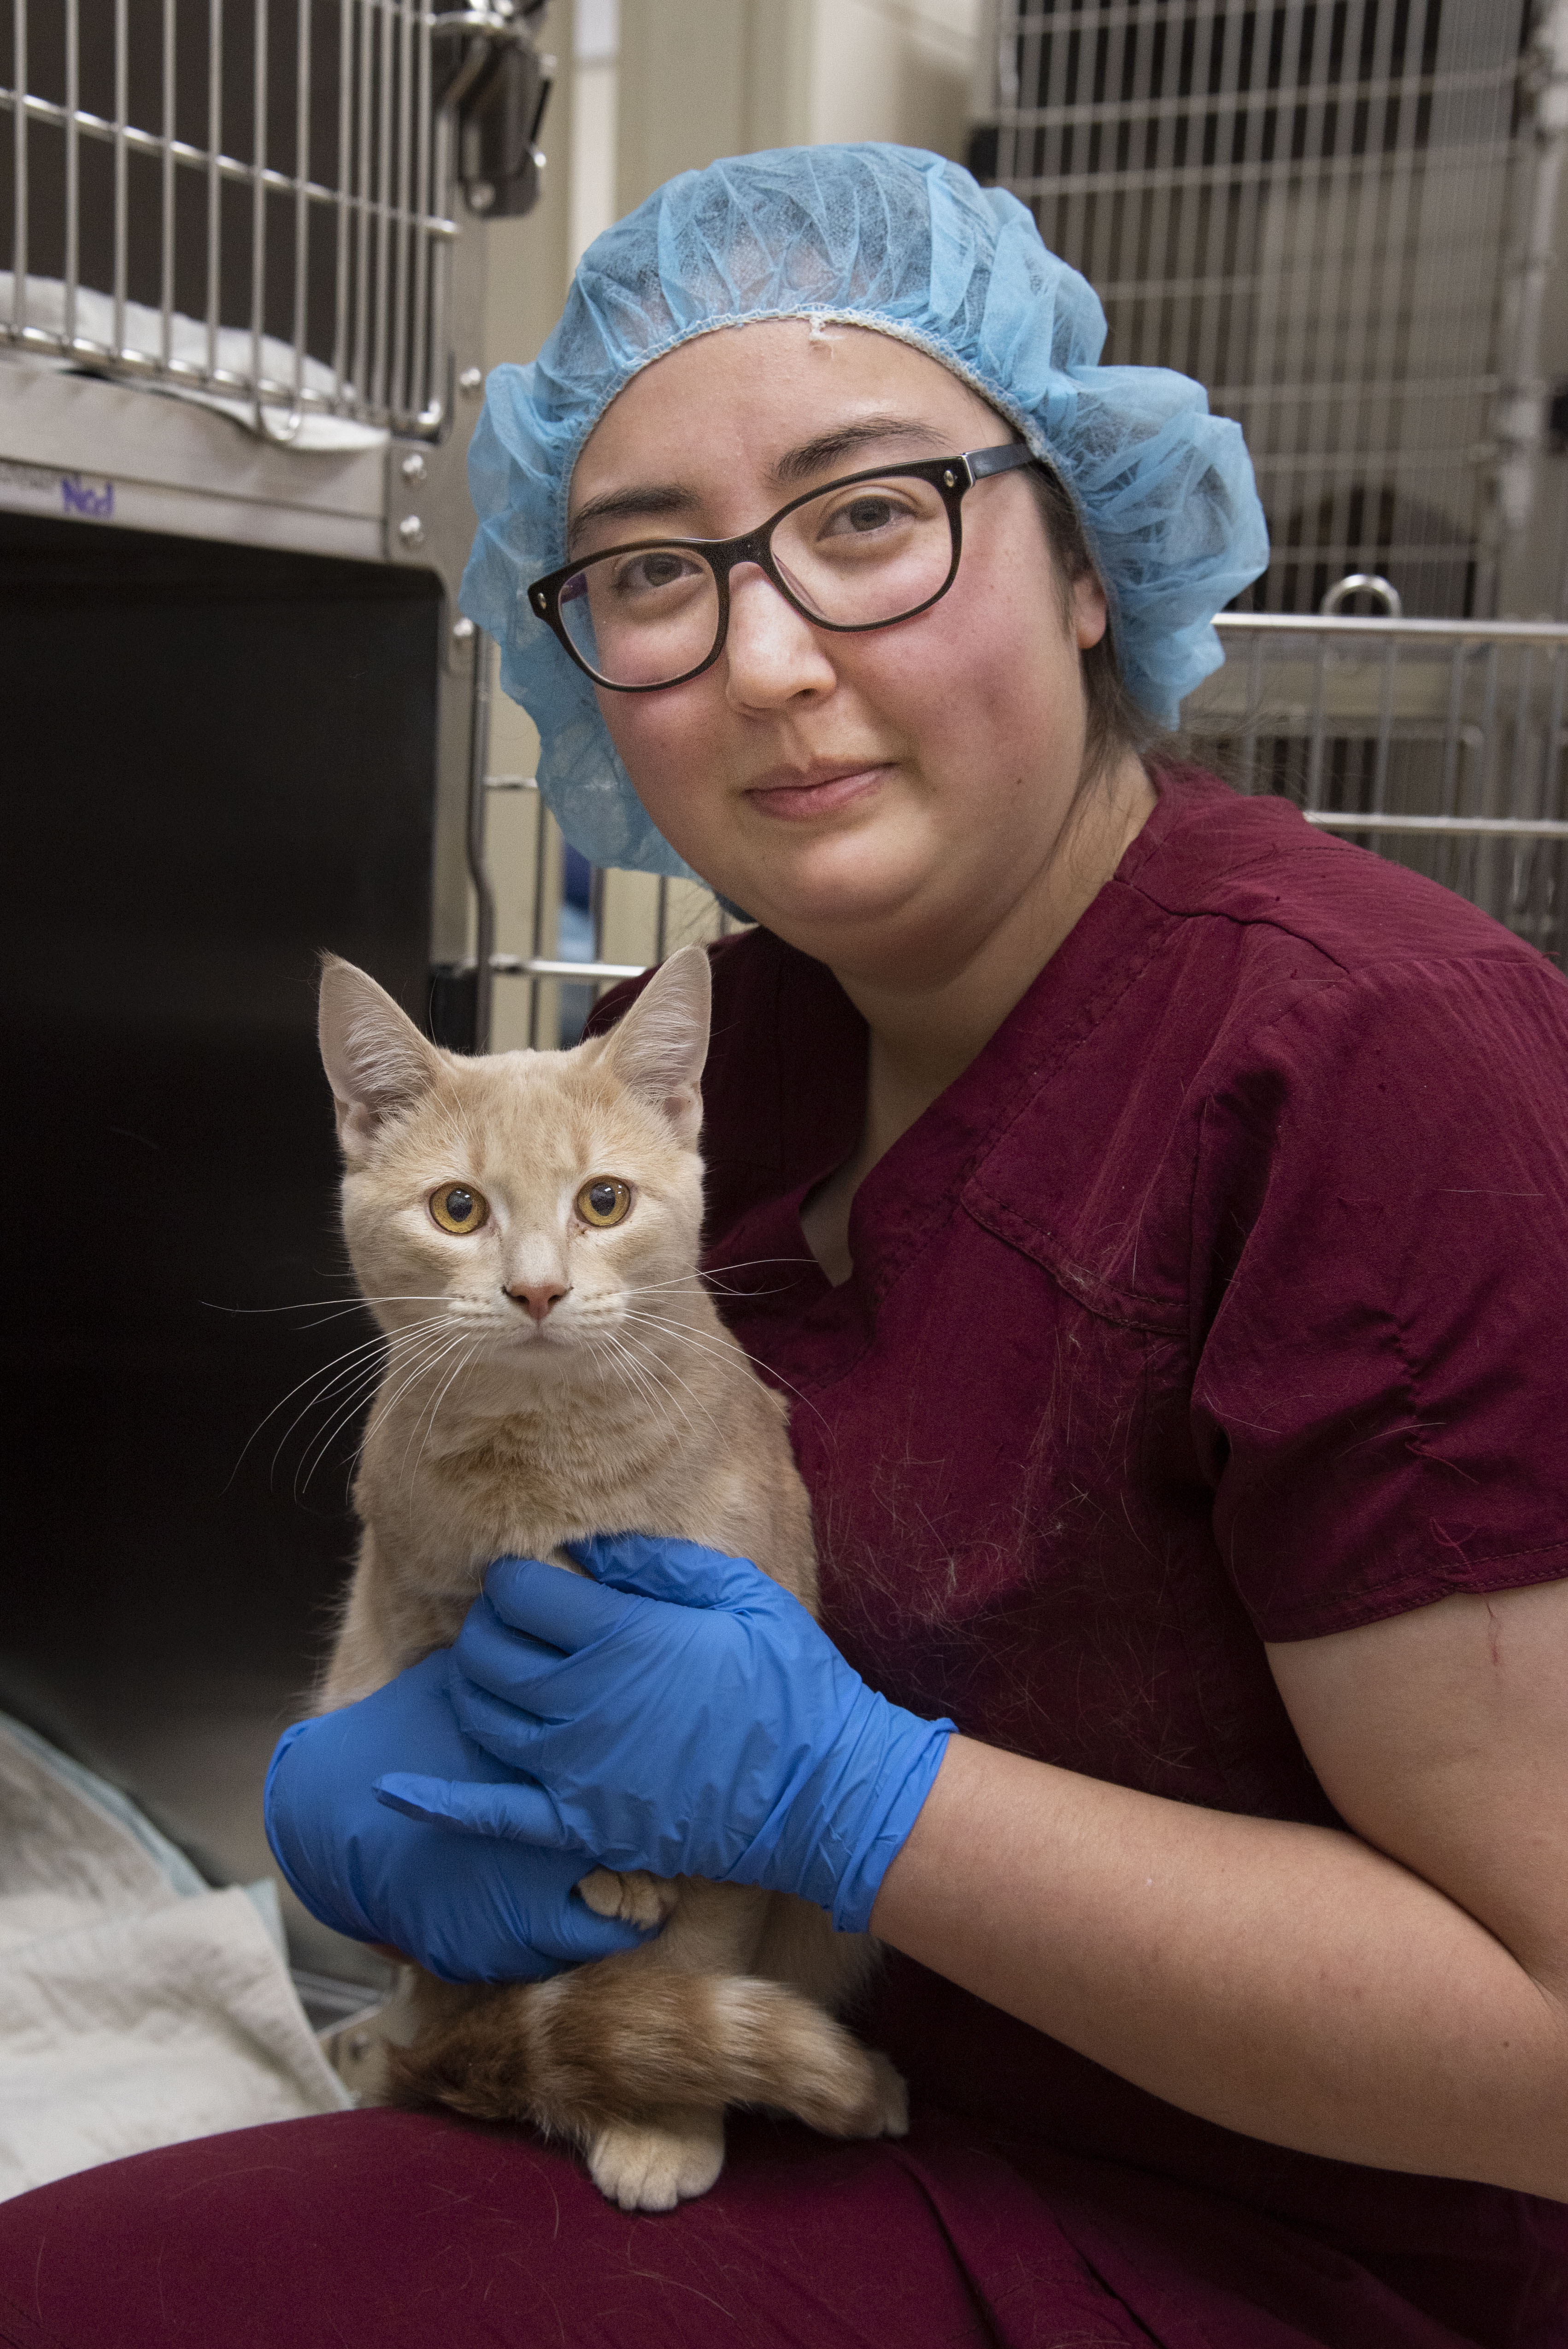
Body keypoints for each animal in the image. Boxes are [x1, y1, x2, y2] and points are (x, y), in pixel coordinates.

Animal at [314, 940, 906, 2198]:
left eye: (603, 1201)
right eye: (458, 1208)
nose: (537, 1289)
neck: (550, 1481)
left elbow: (693, 1948)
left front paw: (665, 2116)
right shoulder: (416, 1611)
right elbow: (474, 1738)